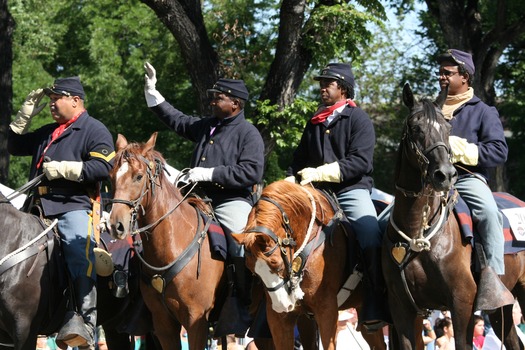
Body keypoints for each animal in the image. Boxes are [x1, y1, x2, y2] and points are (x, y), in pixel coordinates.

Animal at [380, 84, 524, 350]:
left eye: (448, 129)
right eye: (415, 128)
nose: (445, 174)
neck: (419, 231)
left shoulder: (462, 304)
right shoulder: (402, 309)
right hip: (504, 307)